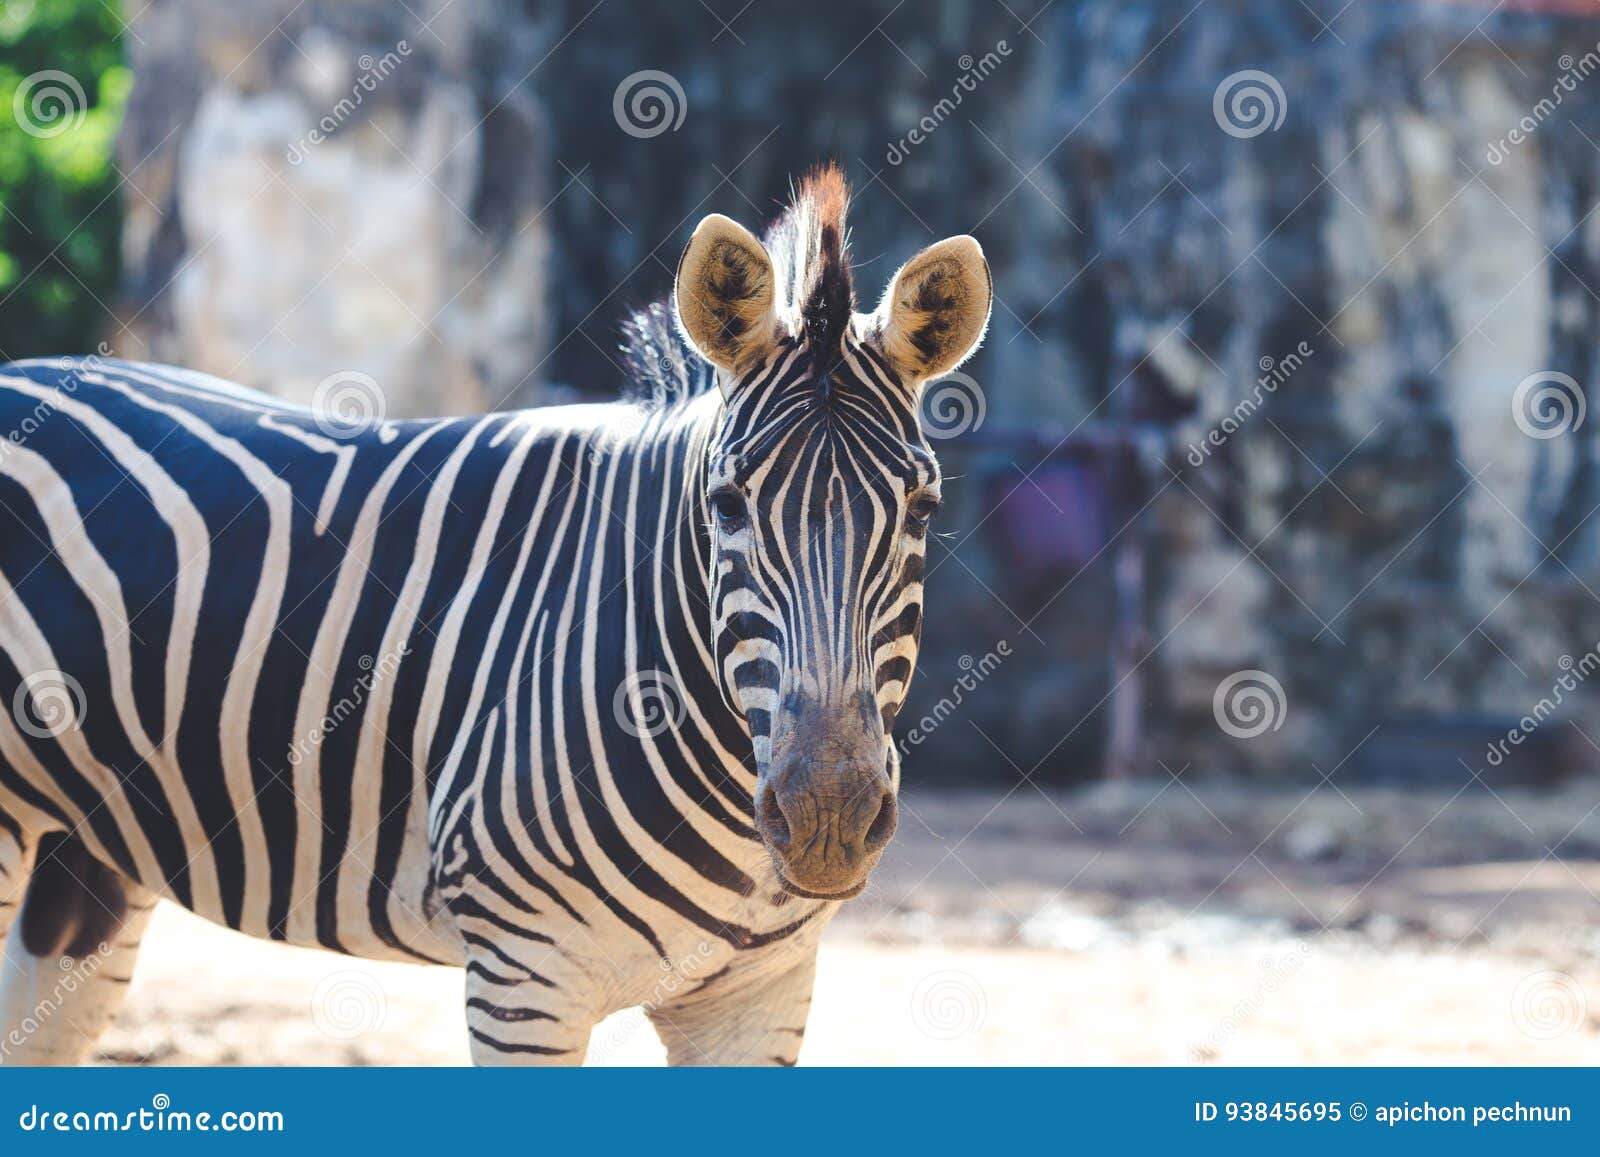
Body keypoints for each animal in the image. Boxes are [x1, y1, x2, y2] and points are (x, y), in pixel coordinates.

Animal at [0, 165, 991, 1066]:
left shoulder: (759, 992)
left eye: (923, 509)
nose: (828, 817)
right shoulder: (525, 977)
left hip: (87, 856)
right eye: (726, 505)